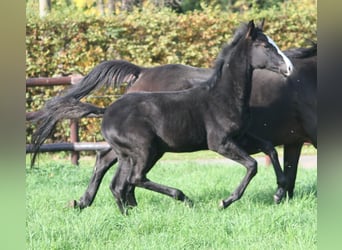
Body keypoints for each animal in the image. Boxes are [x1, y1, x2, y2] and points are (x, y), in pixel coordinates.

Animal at [30, 20, 294, 214]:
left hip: (135, 153)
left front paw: (279, 192)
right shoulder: (220, 143)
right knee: (133, 178)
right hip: (144, 150)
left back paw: (113, 209)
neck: (223, 95)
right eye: (265, 46)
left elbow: (270, 148)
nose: (289, 68)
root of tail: (108, 111)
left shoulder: (242, 136)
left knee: (117, 179)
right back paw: (182, 198)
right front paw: (226, 201)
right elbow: (252, 165)